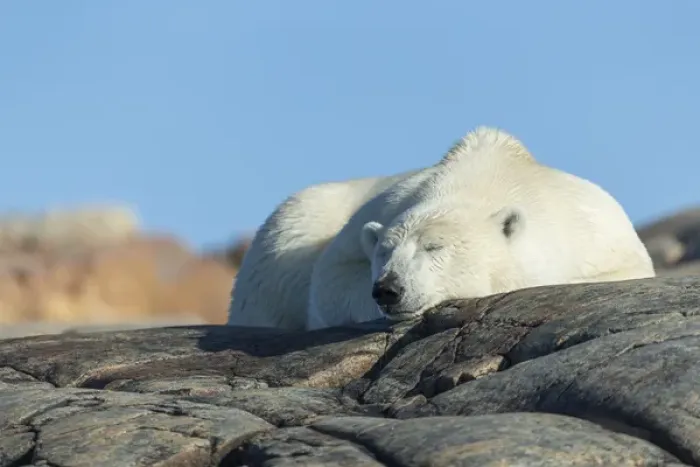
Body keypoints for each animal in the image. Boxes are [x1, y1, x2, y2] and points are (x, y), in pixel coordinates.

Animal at [227, 126, 655, 331]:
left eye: (434, 247)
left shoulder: (596, 231)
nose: (388, 289)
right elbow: (331, 276)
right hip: (292, 225)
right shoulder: (380, 209)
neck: (488, 176)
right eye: (384, 251)